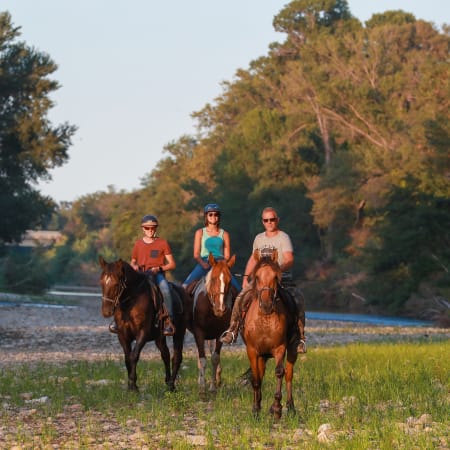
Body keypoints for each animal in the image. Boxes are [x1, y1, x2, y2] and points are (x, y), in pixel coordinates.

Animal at [99, 256, 187, 394]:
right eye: (101, 282)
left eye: (116, 284)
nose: (106, 311)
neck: (131, 302)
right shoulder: (122, 335)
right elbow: (127, 358)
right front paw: (131, 384)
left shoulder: (142, 333)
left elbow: (134, 356)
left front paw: (133, 386)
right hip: (160, 337)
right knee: (165, 355)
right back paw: (167, 382)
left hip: (179, 332)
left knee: (176, 357)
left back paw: (171, 386)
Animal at [184, 253, 237, 394]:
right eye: (213, 279)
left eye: (230, 280)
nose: (221, 309)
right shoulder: (199, 333)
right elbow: (202, 359)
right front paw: (202, 388)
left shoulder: (220, 334)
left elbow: (215, 358)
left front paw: (213, 387)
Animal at [243, 251, 298, 420]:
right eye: (257, 277)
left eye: (275, 277)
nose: (267, 305)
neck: (265, 319)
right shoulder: (252, 351)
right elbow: (256, 379)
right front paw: (255, 409)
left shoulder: (280, 348)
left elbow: (280, 372)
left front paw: (276, 408)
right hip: (262, 356)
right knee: (260, 375)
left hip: (292, 350)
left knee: (289, 375)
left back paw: (291, 408)